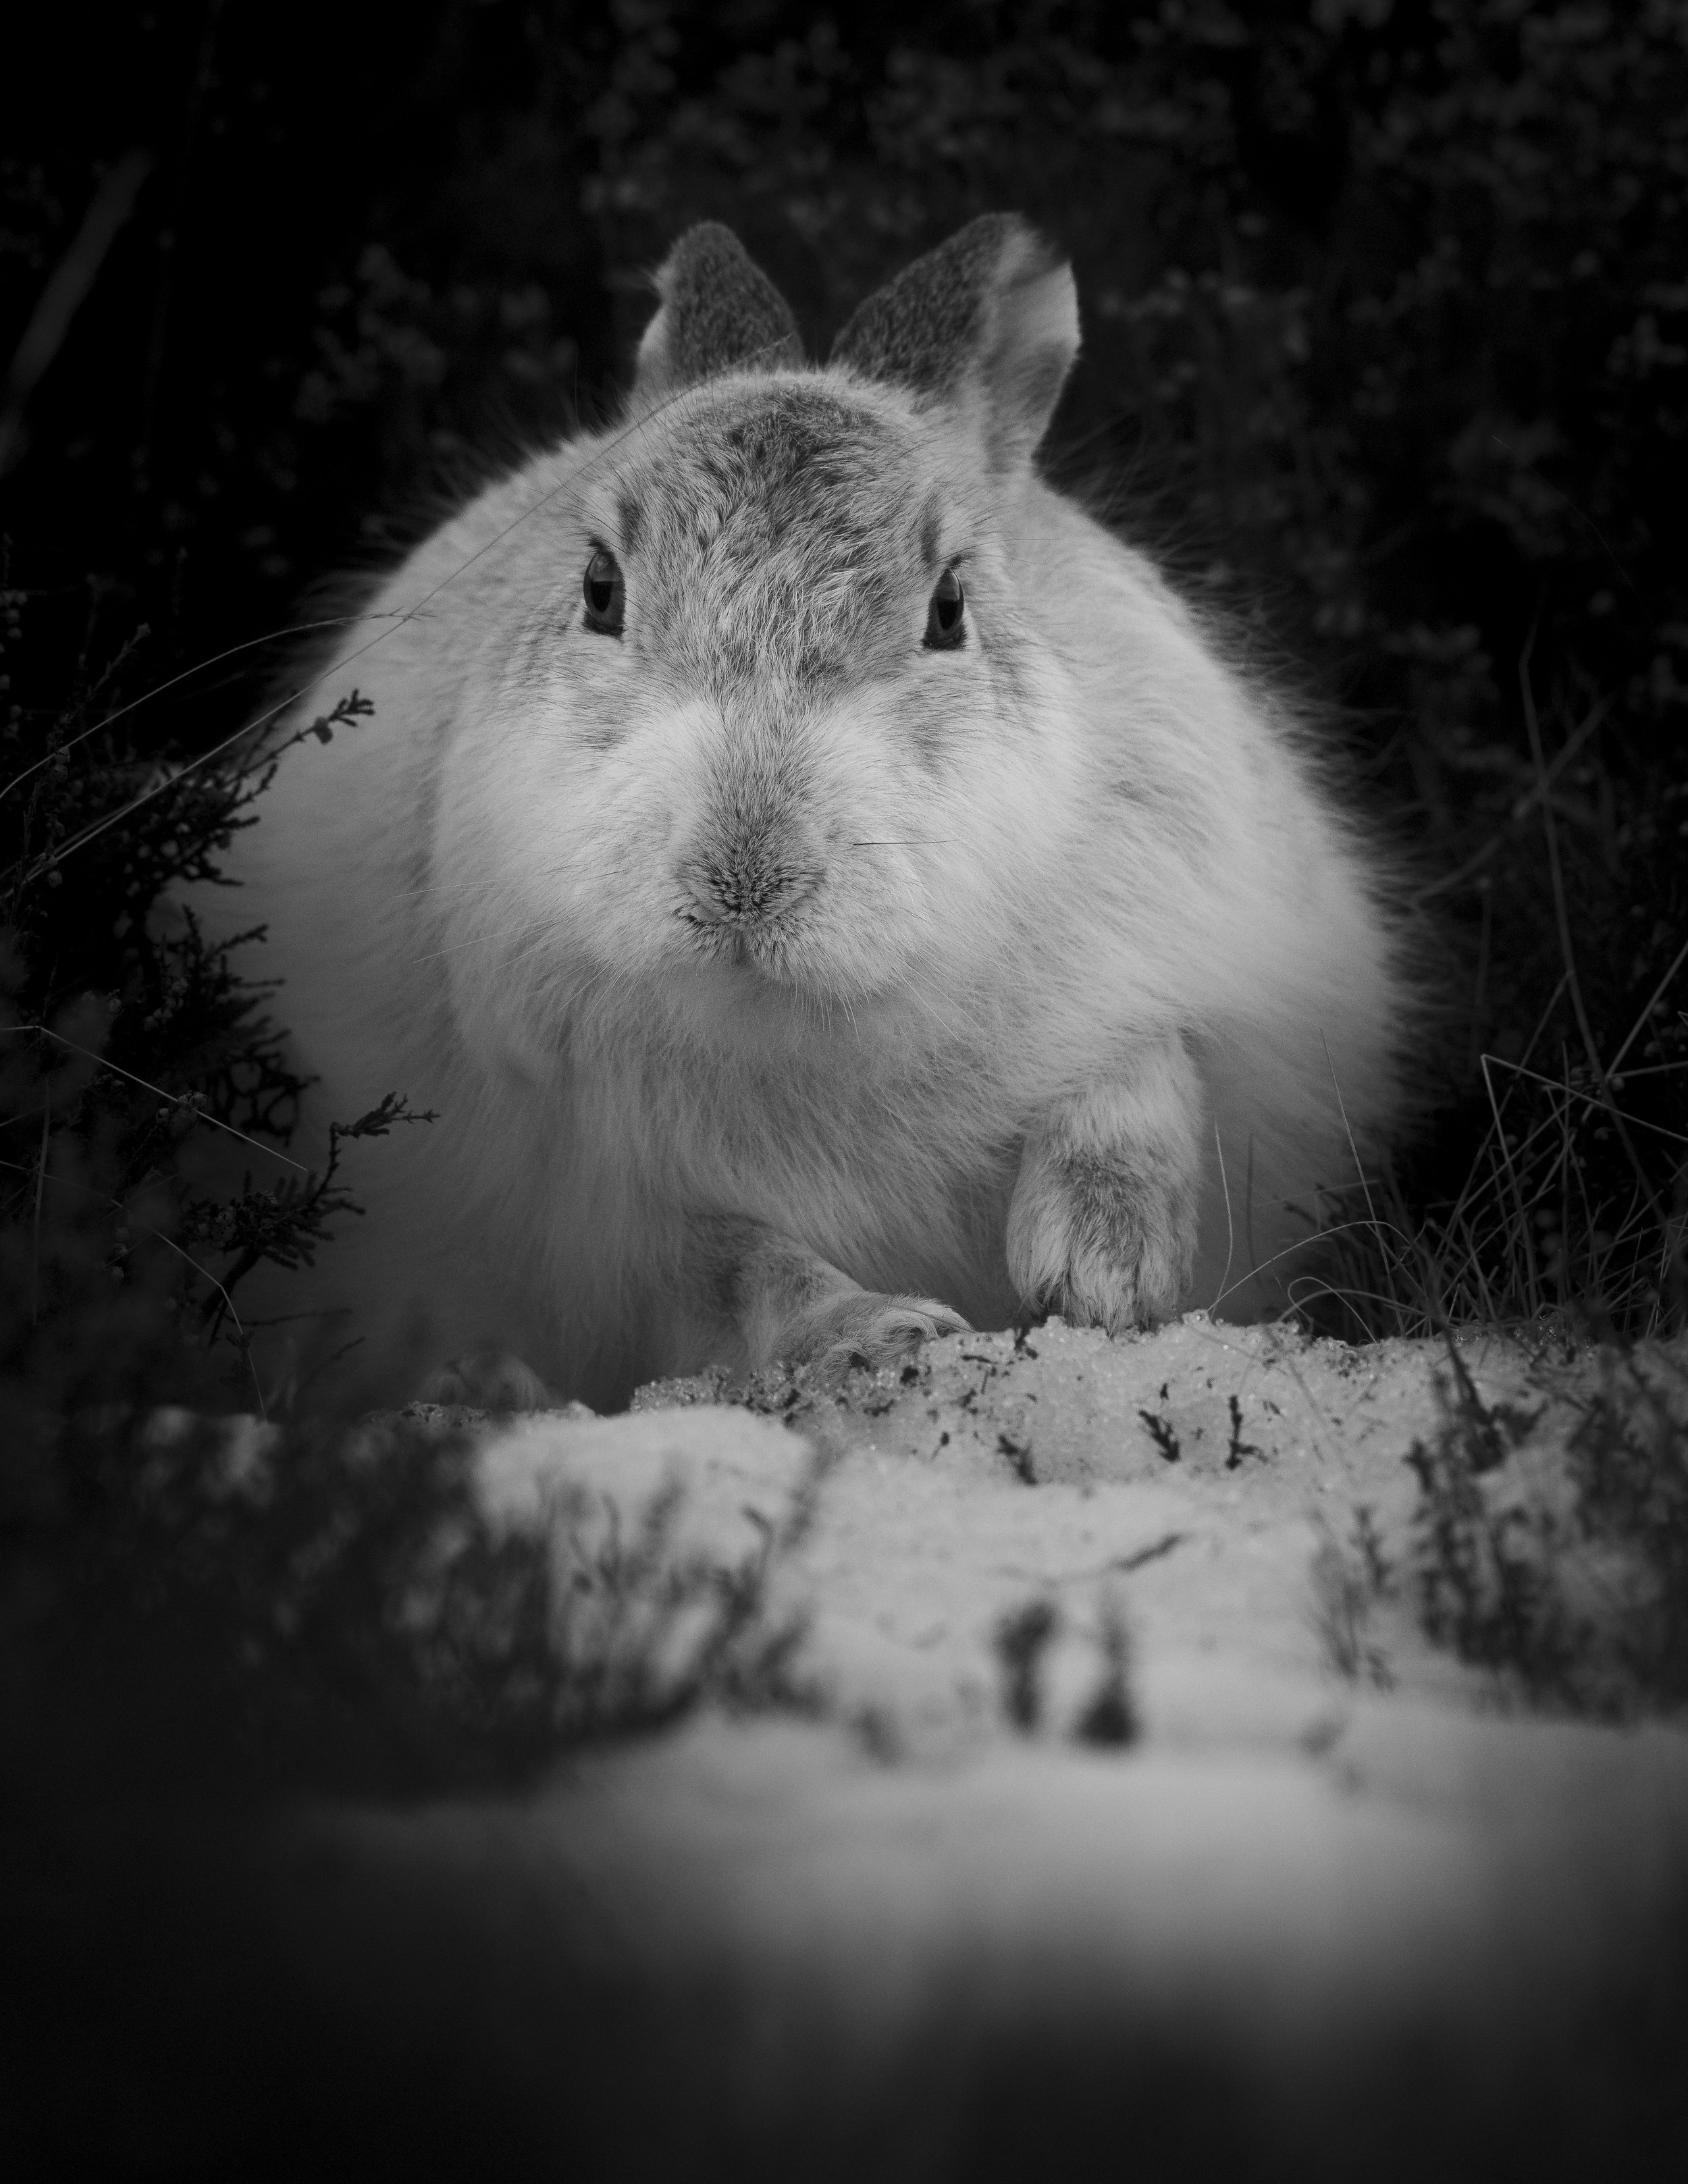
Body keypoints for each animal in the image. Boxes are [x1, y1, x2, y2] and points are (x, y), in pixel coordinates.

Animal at [209, 214, 1415, 1412]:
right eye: (599, 590)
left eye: (950, 608)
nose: (743, 876)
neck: (795, 1009)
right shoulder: (616, 1196)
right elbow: (744, 1264)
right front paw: (879, 1333)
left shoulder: (1181, 951)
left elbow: (1142, 1071)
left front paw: (1102, 1266)